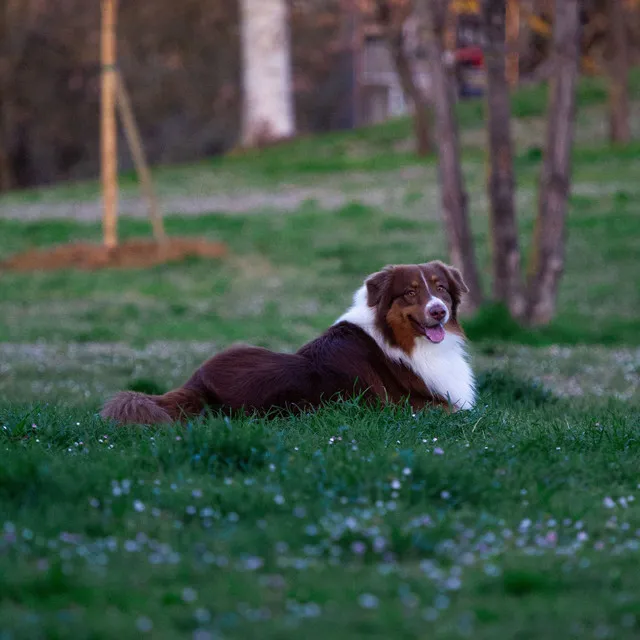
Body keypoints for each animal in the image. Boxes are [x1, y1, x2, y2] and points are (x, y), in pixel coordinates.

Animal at [100, 260, 476, 424]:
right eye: (410, 292)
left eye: (440, 287)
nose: (439, 311)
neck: (398, 339)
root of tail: (197, 383)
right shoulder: (407, 407)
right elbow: (459, 408)